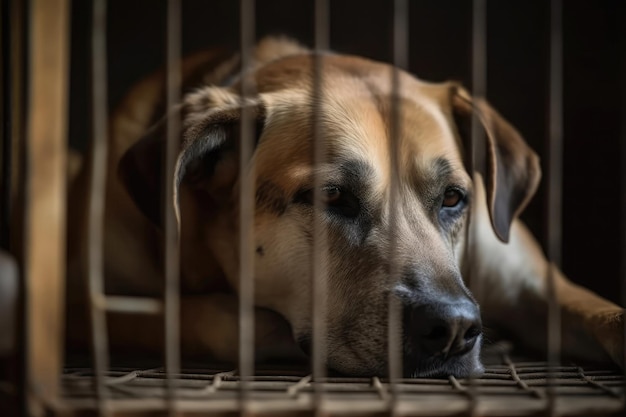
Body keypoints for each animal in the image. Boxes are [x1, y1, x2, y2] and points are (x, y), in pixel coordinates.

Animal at [66, 37, 620, 378]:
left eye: (452, 198)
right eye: (333, 197)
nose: (455, 329)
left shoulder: (533, 282)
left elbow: (606, 313)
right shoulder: (92, 305)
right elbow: (229, 322)